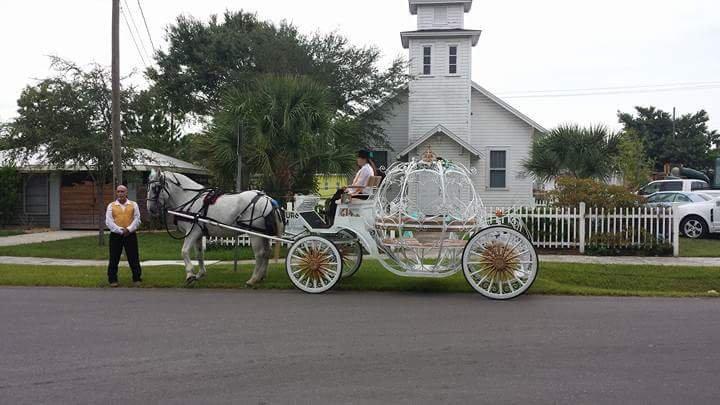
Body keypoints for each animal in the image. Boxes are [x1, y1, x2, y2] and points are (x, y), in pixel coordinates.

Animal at [146, 169, 284, 286]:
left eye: (155, 188)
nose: (150, 209)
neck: (189, 198)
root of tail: (269, 200)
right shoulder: (198, 234)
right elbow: (199, 254)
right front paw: (200, 274)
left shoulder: (192, 232)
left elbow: (184, 251)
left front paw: (190, 275)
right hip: (263, 234)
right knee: (267, 252)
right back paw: (261, 276)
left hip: (255, 234)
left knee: (259, 254)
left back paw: (253, 279)